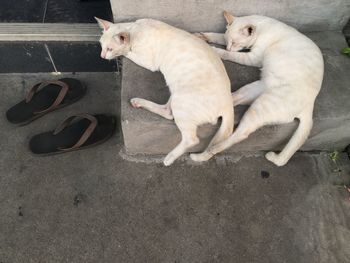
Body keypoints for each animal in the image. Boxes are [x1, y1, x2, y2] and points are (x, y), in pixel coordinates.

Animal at [94, 17, 234, 166]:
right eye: (101, 45)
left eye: (110, 48)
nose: (102, 56)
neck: (135, 29)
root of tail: (228, 104)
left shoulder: (149, 62)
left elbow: (128, 53)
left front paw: (120, 56)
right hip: (175, 92)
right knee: (167, 112)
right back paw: (138, 102)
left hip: (180, 100)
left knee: (191, 138)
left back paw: (169, 158)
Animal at [193, 11, 324, 167]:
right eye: (229, 41)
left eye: (235, 43)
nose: (229, 47)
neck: (262, 25)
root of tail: (310, 105)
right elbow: (216, 35)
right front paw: (201, 36)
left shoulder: (252, 58)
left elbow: (230, 54)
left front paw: (215, 50)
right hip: (251, 91)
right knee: (230, 103)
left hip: (260, 107)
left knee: (239, 134)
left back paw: (208, 151)